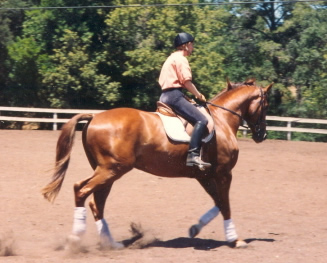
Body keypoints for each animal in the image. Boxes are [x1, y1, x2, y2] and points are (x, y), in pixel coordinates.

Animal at [41, 78, 274, 250]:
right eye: (265, 105)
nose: (262, 135)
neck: (222, 120)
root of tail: (93, 117)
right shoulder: (224, 173)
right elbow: (225, 204)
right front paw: (235, 239)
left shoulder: (205, 176)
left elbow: (218, 202)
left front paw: (195, 229)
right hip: (111, 169)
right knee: (81, 190)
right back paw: (75, 239)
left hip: (108, 171)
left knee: (97, 201)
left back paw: (111, 243)